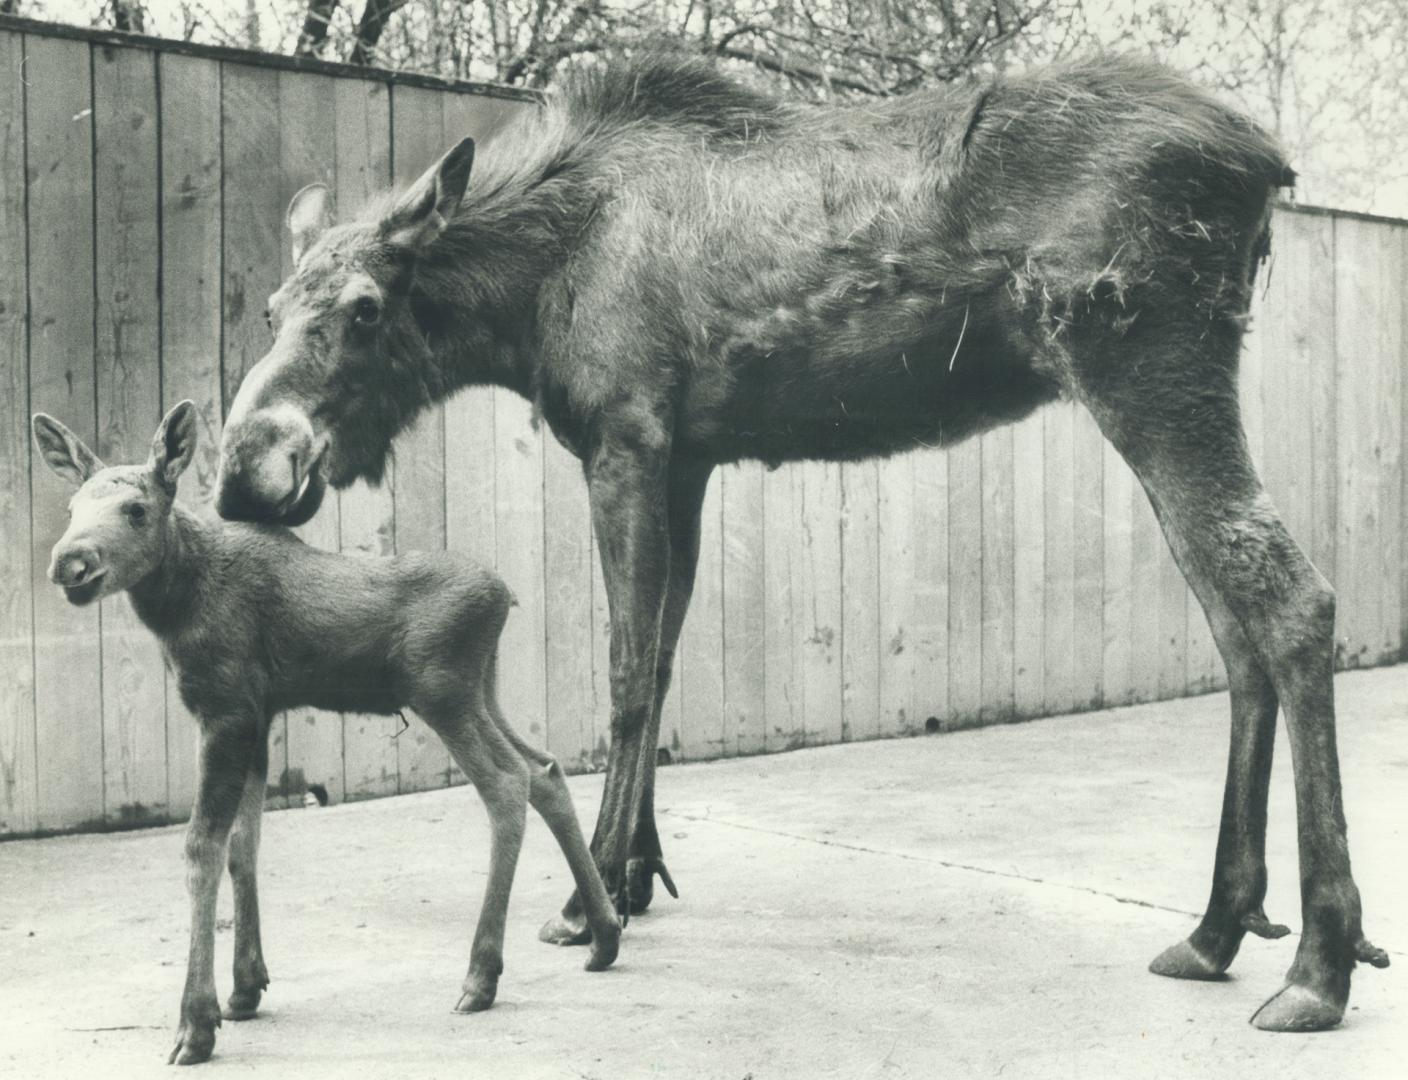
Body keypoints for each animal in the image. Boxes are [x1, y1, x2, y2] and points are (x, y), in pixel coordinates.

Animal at [31, 402, 616, 1064]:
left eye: (136, 508)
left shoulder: (225, 711)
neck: (177, 605)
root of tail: (506, 597)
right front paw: (245, 986)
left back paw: (481, 974)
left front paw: (196, 1023)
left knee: (507, 785)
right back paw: (603, 934)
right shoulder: (259, 716)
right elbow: (245, 844)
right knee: (544, 769)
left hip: (442, 694)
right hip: (481, 690)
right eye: (72, 508)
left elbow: (203, 848)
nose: (70, 563)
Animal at [216, 54, 1385, 1036]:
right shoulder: (687, 457)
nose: (243, 467)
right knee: (1235, 628)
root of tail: (1264, 163)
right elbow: (666, 660)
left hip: (1143, 366)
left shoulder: (626, 438)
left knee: (1293, 598)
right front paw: (637, 873)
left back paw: (1318, 963)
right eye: (272, 305)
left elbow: (625, 672)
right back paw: (1219, 927)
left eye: (366, 308)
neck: (527, 297)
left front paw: (590, 901)